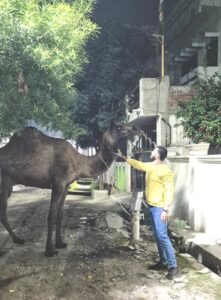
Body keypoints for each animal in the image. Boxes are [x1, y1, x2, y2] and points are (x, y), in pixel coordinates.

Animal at [0, 122, 138, 255]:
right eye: (119, 127)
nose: (134, 128)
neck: (79, 162)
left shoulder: (66, 185)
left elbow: (60, 214)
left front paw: (60, 243)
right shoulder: (58, 183)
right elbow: (51, 214)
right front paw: (49, 250)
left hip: (7, 187)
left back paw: (18, 239)